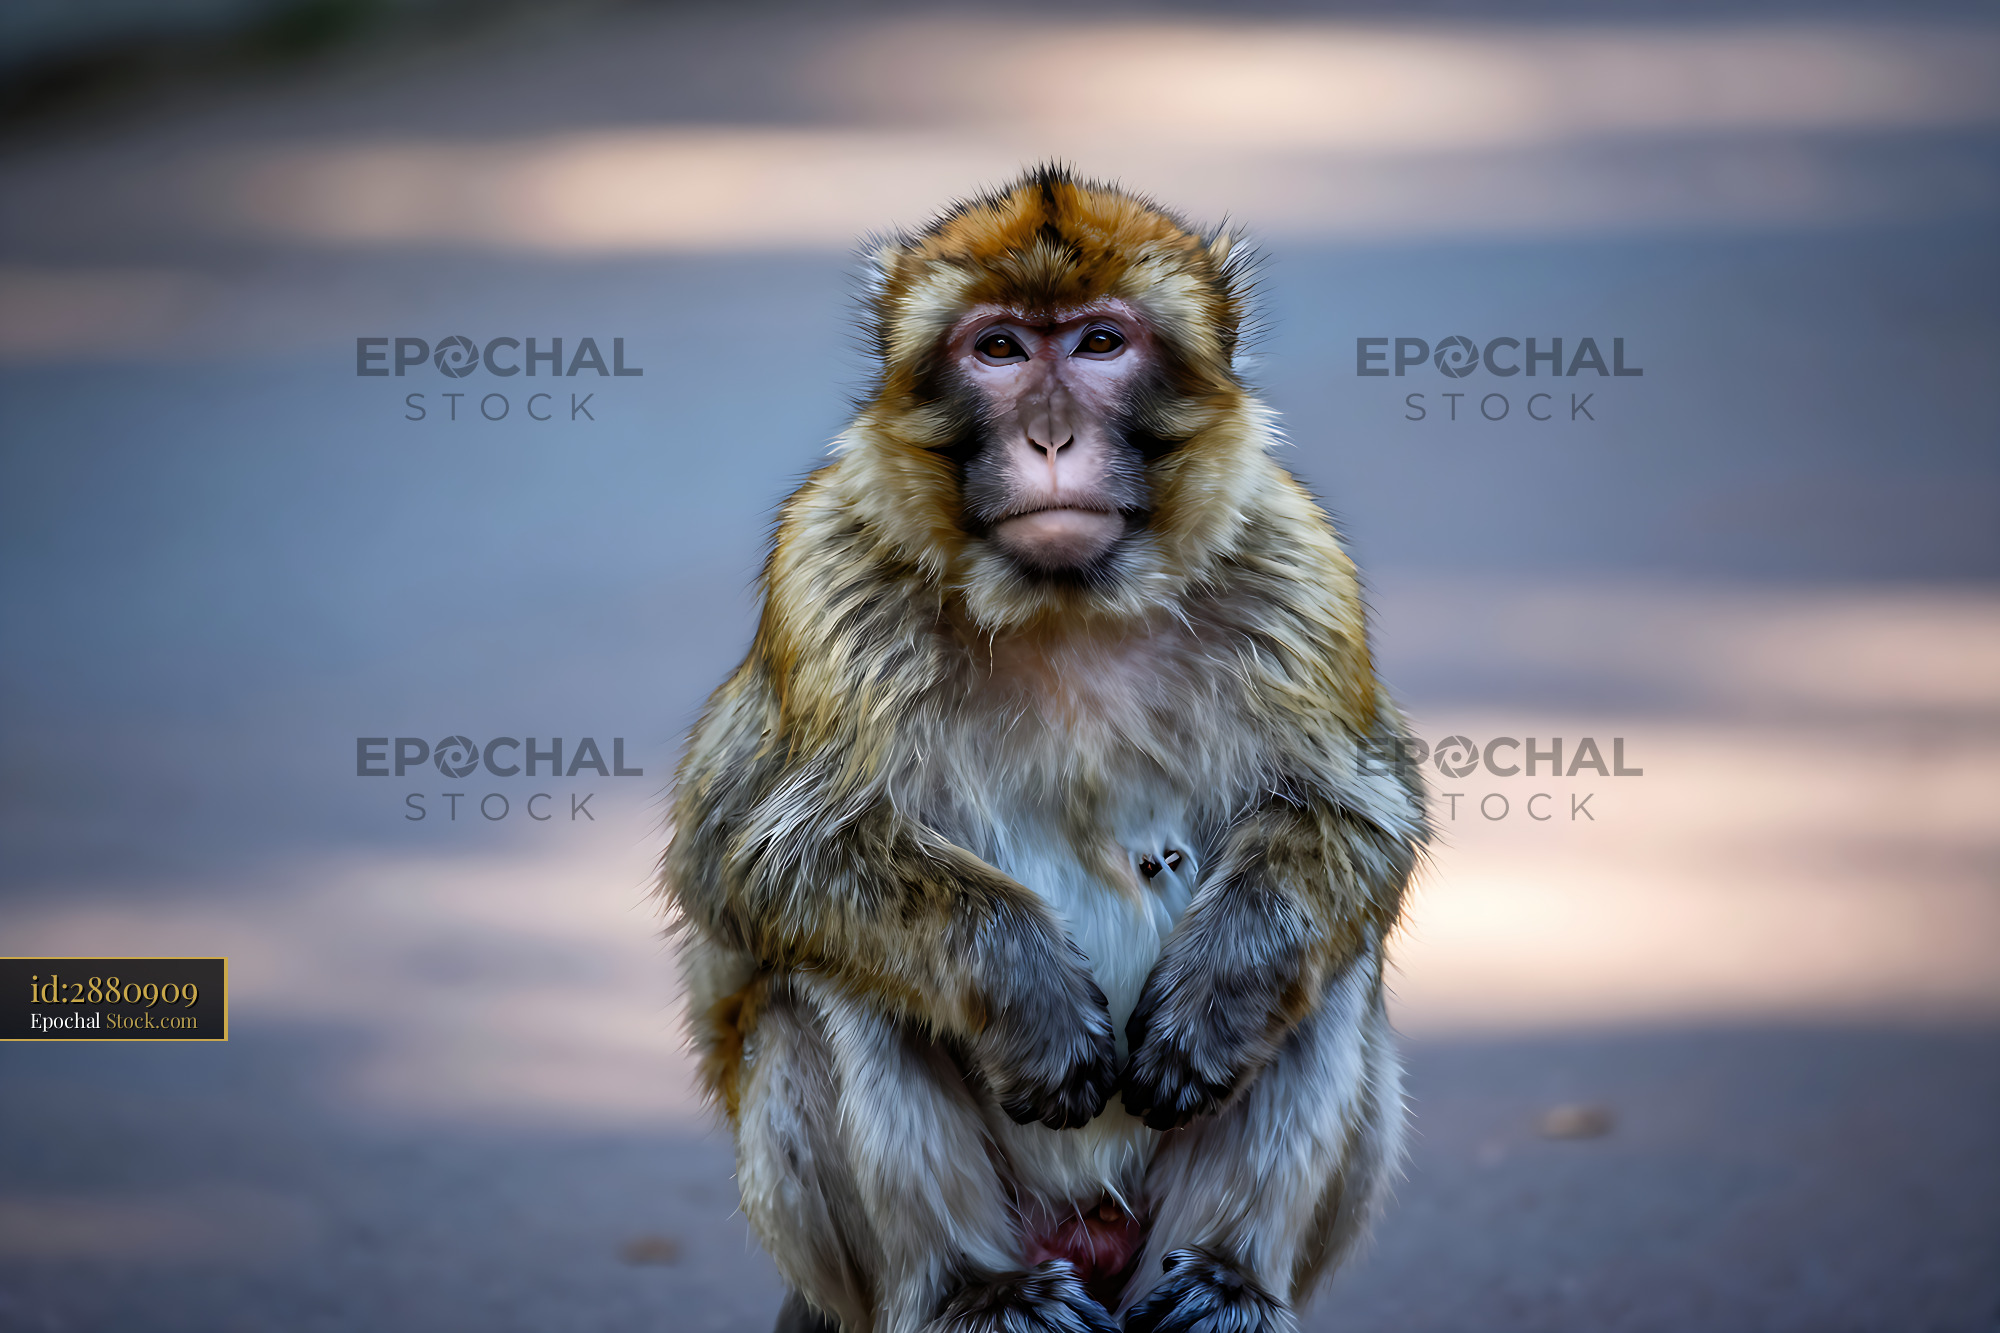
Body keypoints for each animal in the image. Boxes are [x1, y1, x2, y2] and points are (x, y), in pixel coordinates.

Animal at [660, 166, 1427, 1333]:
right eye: (1000, 349)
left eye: (1100, 343)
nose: (1053, 437)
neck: (1065, 604)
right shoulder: (826, 570)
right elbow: (757, 856)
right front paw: (1032, 1000)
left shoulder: (1293, 563)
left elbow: (1355, 809)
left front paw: (1212, 1002)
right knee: (825, 981)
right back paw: (974, 1288)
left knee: (1332, 967)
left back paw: (1227, 1279)